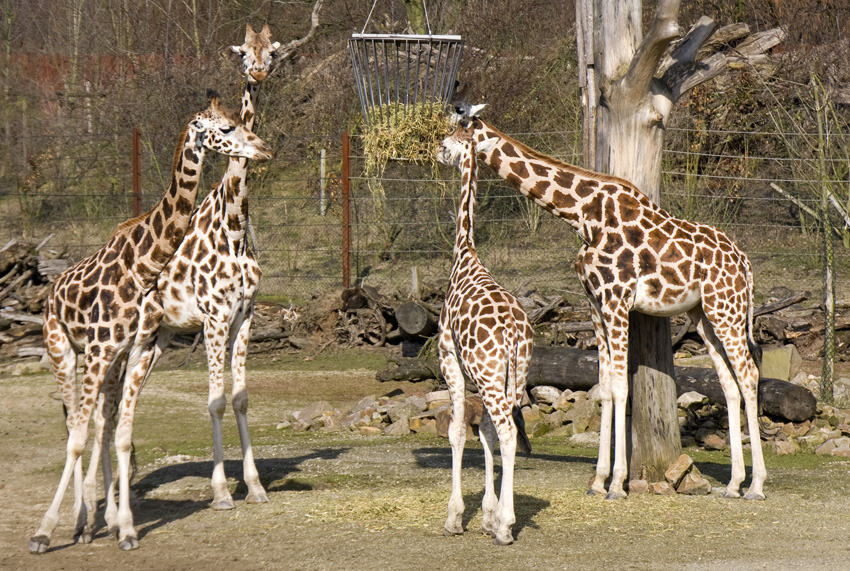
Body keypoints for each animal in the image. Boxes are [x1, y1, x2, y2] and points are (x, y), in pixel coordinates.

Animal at [29, 97, 274, 556]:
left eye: (242, 121)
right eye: (226, 128)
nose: (264, 148)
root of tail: (49, 292)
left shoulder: (230, 318)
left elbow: (236, 400)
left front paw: (124, 527)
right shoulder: (213, 316)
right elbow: (216, 401)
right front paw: (222, 493)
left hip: (128, 356)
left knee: (103, 422)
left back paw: (101, 520)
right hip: (63, 351)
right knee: (75, 425)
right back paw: (77, 521)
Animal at [448, 101, 764, 500]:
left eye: (458, 128)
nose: (441, 149)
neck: (582, 215)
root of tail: (746, 263)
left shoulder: (616, 299)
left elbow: (620, 386)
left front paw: (616, 483)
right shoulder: (596, 305)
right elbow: (604, 386)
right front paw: (599, 481)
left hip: (727, 310)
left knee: (749, 375)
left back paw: (756, 485)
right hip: (704, 315)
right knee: (730, 385)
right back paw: (735, 483)